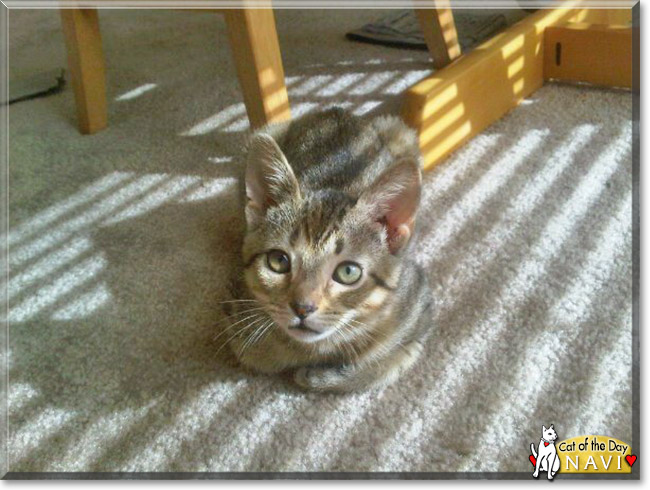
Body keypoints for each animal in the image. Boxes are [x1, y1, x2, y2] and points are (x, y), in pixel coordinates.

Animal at [225, 109, 432, 392]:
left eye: (348, 272)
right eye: (278, 261)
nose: (302, 308)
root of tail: (334, 110)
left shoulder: (419, 313)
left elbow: (379, 366)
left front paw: (320, 376)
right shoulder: (237, 320)